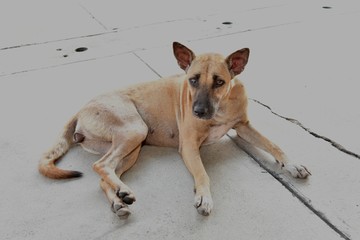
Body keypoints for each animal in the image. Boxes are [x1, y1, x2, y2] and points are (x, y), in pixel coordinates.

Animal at [38, 42, 310, 218]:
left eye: (219, 82)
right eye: (193, 80)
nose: (198, 111)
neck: (221, 106)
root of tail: (82, 108)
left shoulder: (243, 127)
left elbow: (274, 144)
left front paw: (292, 164)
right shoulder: (189, 146)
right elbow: (202, 174)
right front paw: (204, 196)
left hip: (131, 149)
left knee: (104, 176)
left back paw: (120, 198)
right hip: (135, 131)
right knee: (100, 166)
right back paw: (123, 192)